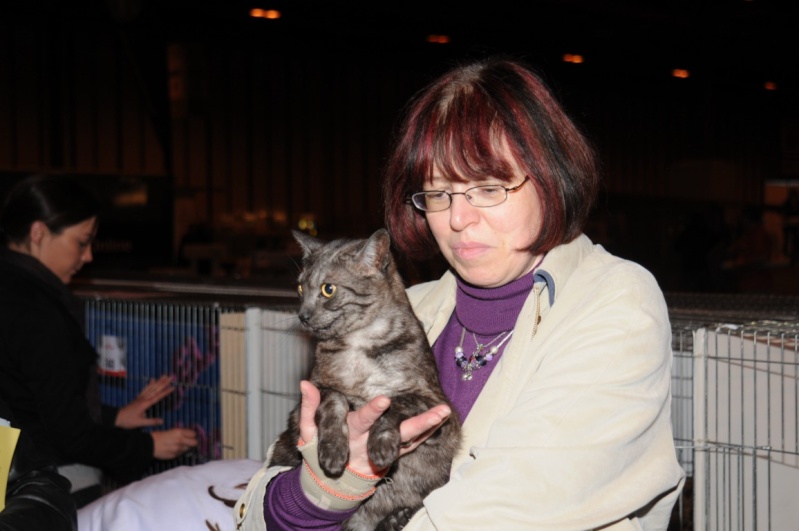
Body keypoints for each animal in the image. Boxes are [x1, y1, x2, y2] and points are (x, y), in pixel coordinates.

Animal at [270, 229, 462, 531]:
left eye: (328, 289)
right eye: (300, 289)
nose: (303, 316)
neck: (359, 343)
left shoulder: (439, 411)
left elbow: (393, 403)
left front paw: (381, 448)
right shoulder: (311, 394)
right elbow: (335, 398)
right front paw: (333, 451)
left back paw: (397, 517)